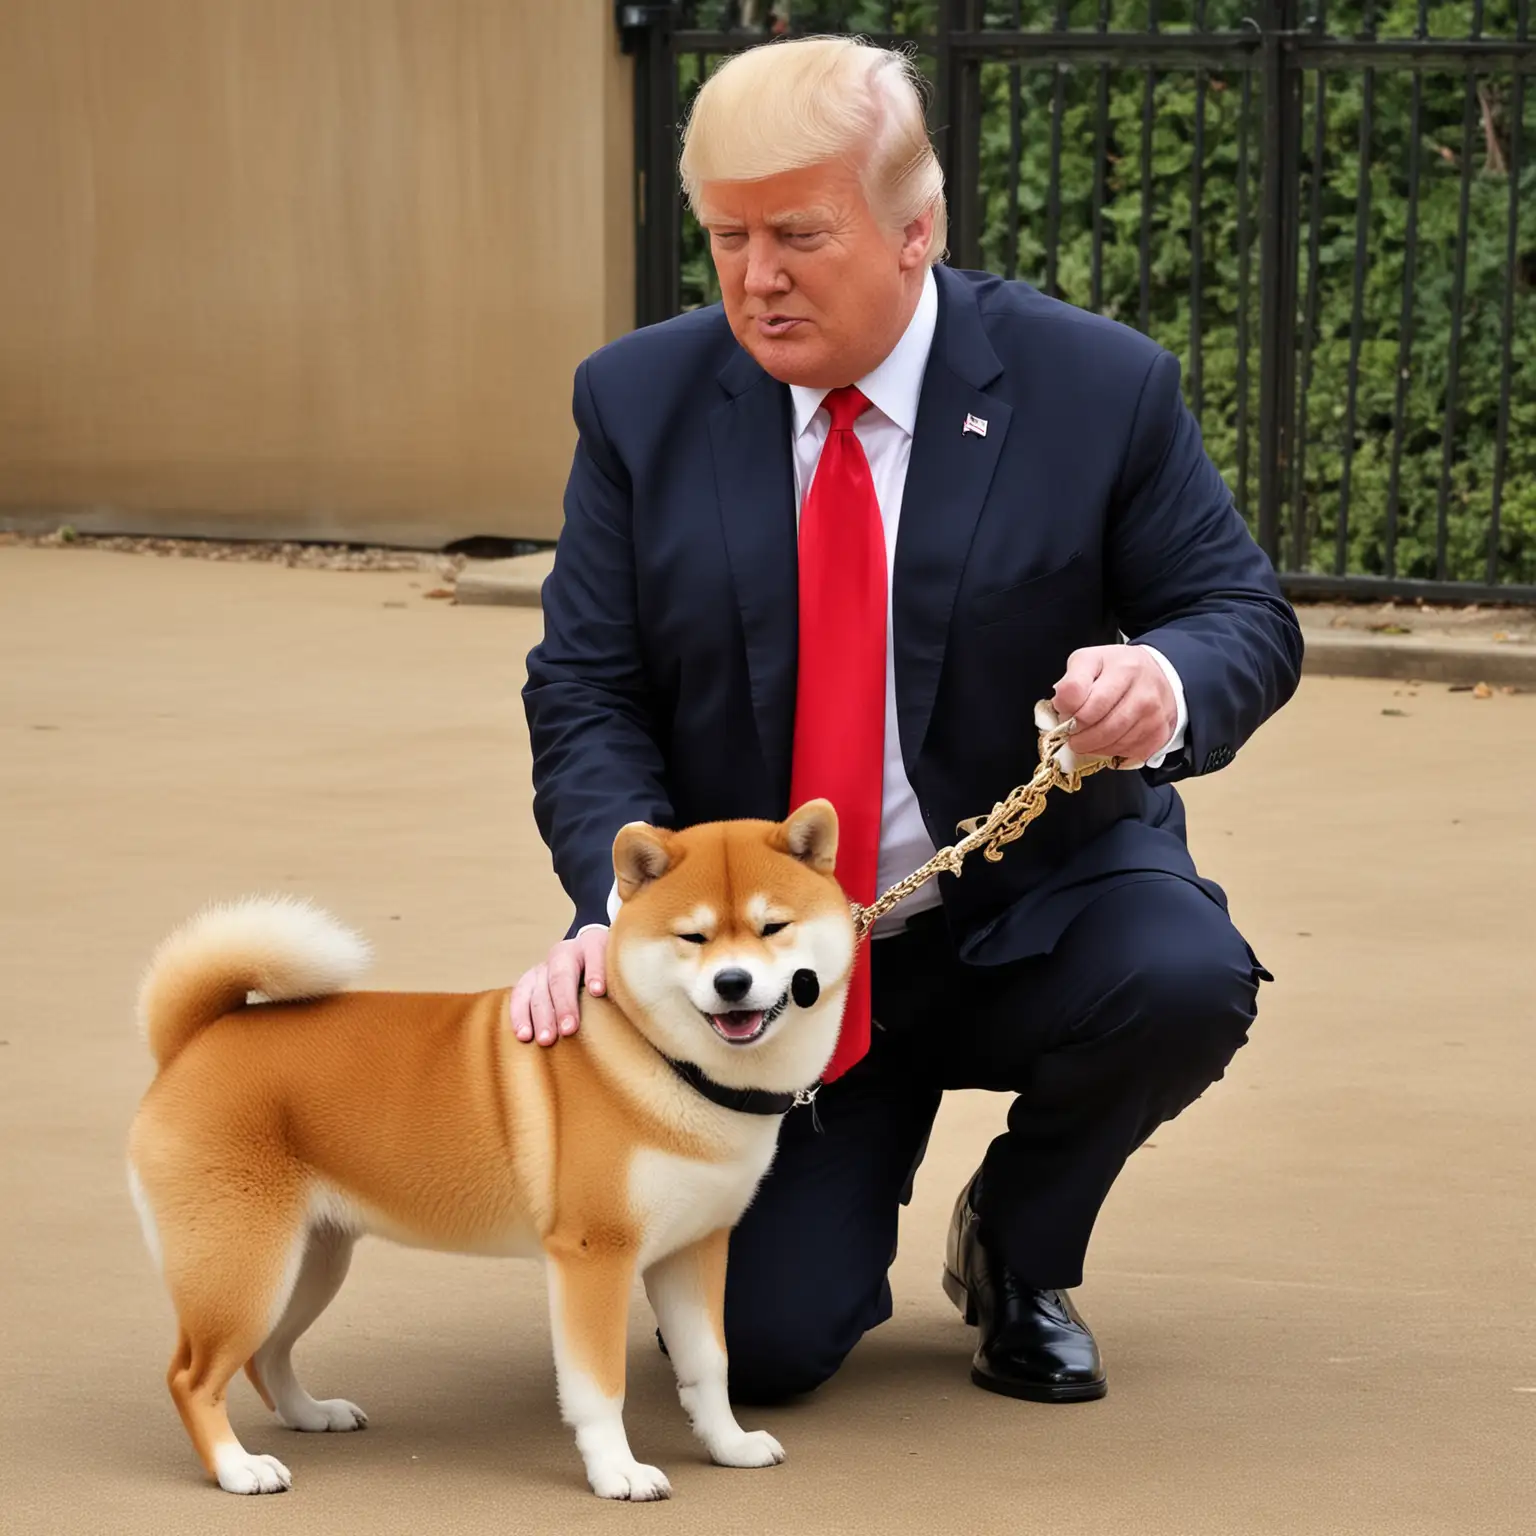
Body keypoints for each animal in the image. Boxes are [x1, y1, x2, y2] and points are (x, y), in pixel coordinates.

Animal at [122, 804, 854, 1499]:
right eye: (693, 937)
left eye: (772, 928)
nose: (732, 983)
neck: (661, 1060)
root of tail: (192, 1041)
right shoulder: (594, 1257)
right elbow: (600, 1388)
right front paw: (617, 1473)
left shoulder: (693, 1249)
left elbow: (708, 1365)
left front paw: (729, 1446)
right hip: (244, 1267)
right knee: (192, 1376)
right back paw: (237, 1468)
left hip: (308, 1262)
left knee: (264, 1355)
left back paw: (311, 1414)